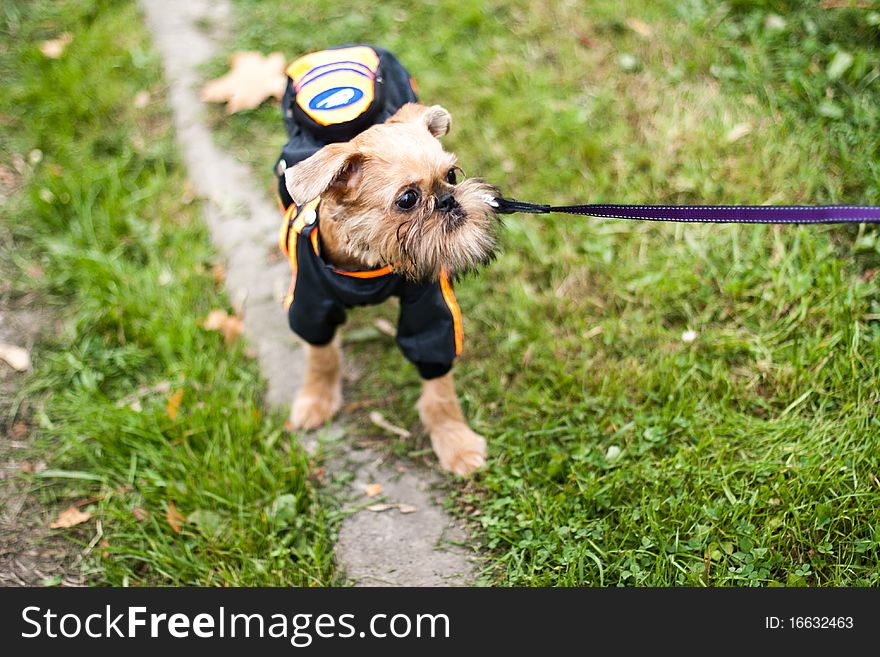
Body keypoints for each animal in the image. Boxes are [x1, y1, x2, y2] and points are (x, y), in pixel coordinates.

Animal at [276, 47, 496, 476]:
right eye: (408, 199)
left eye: (451, 175)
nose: (449, 200)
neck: (368, 260)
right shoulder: (312, 304)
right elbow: (321, 355)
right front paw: (316, 400)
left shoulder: (430, 312)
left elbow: (439, 384)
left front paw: (454, 441)